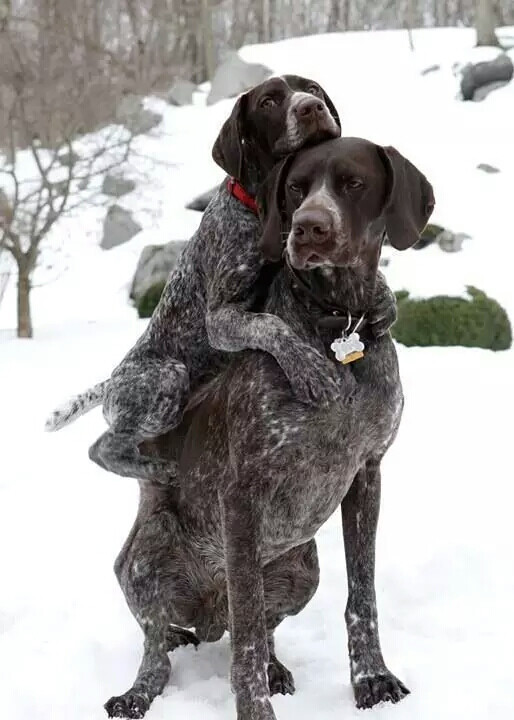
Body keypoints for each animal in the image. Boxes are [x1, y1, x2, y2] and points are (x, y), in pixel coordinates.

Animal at [100, 136, 432, 720]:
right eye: (296, 188)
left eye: (353, 183)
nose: (309, 227)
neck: (336, 326)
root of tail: (208, 618)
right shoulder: (242, 493)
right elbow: (248, 637)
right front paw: (254, 709)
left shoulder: (368, 473)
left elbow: (361, 596)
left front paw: (371, 678)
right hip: (146, 559)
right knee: (162, 645)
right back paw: (138, 692)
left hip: (303, 567)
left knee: (255, 626)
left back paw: (275, 668)